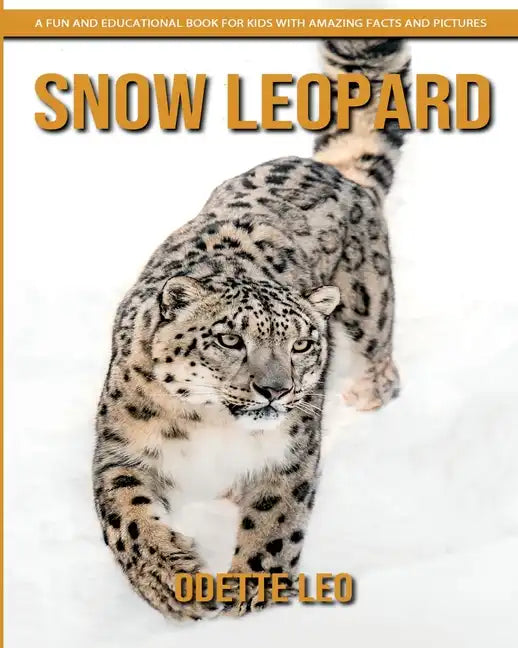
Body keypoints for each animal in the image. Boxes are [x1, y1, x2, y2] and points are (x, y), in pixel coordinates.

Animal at [93, 38, 411, 620]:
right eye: (229, 339)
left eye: (302, 344)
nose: (275, 389)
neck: (213, 427)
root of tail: (334, 173)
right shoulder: (121, 450)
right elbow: (127, 519)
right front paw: (173, 583)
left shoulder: (289, 457)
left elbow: (273, 529)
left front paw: (249, 607)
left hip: (368, 305)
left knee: (384, 355)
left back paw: (369, 390)